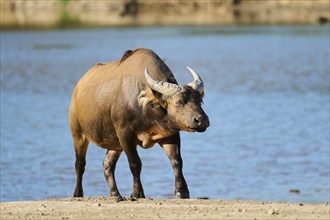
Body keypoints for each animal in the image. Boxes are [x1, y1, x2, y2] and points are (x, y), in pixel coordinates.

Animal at [69, 48, 209, 199]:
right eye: (179, 102)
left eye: (200, 100)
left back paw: (115, 194)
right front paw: (137, 192)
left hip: (115, 144)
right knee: (80, 164)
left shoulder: (170, 134)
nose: (202, 120)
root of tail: (77, 89)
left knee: (107, 164)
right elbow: (135, 163)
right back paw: (78, 194)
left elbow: (176, 160)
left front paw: (181, 191)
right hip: (78, 134)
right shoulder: (125, 135)